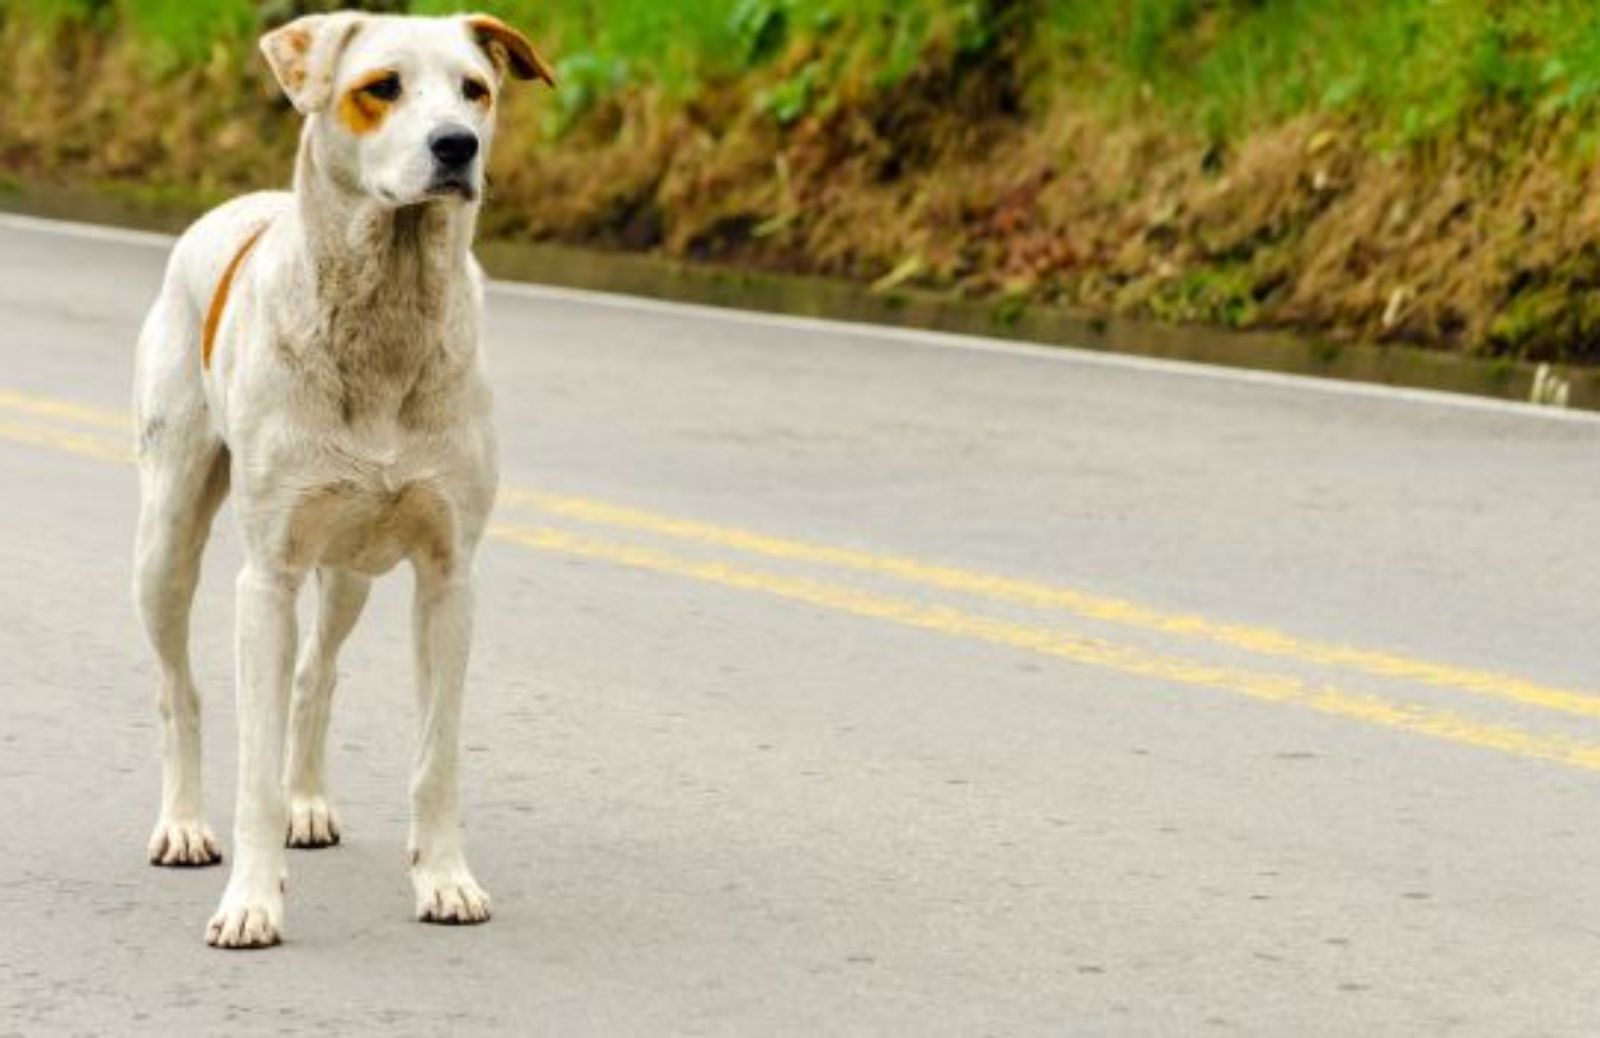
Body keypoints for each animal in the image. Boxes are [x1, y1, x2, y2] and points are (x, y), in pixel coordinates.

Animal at [132, 10, 556, 946]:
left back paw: (308, 803)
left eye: (476, 88)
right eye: (381, 87)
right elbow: (250, 765)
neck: (388, 306)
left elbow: (436, 756)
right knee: (179, 689)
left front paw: (445, 881)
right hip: (166, 540)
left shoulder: (448, 578)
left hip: (351, 571)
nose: (457, 145)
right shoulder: (268, 578)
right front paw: (252, 903)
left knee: (313, 675)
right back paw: (182, 826)